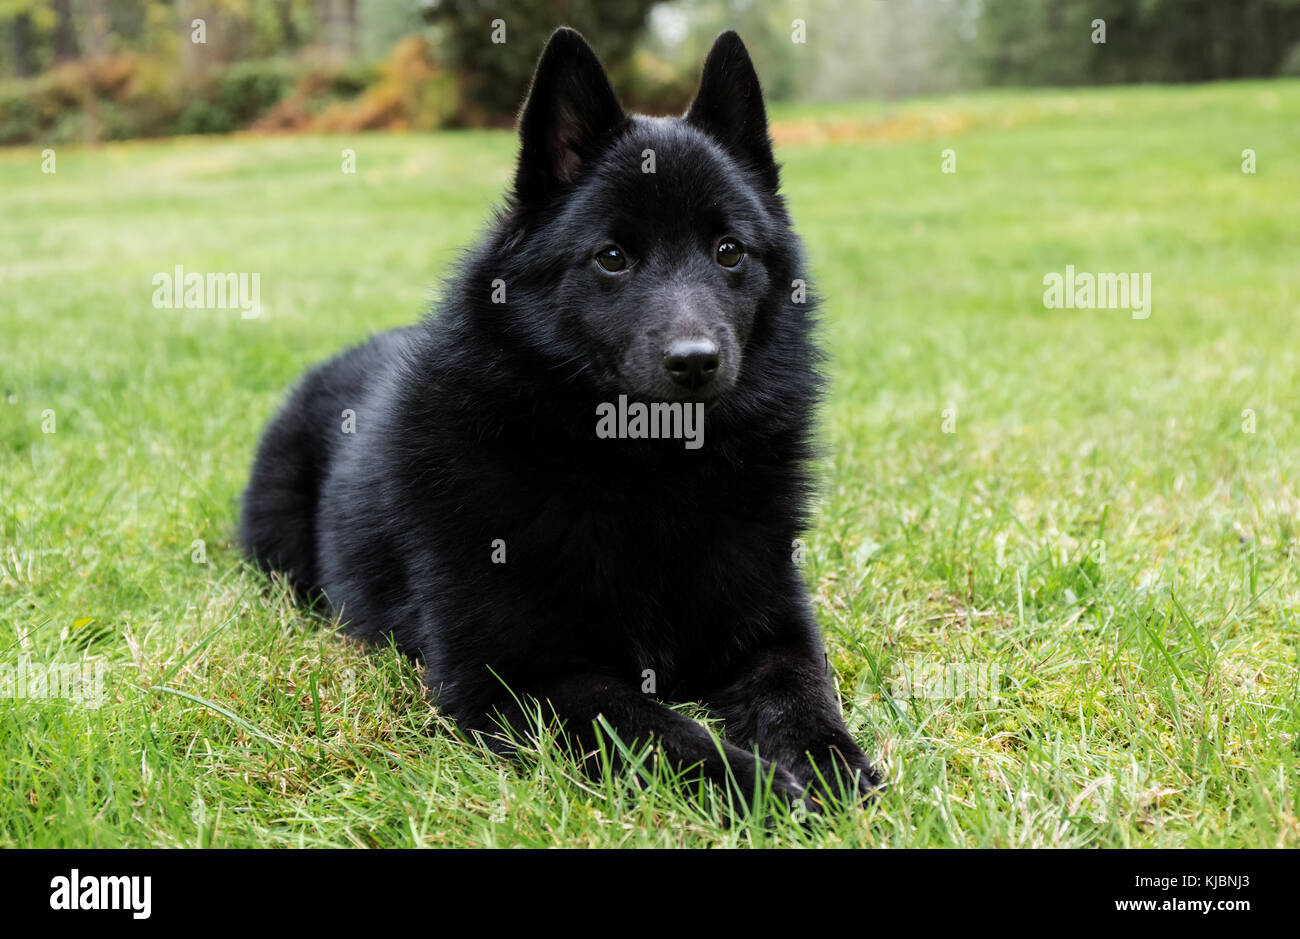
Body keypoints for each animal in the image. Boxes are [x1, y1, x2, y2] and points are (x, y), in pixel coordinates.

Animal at [239, 27, 878, 806]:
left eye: (729, 251)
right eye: (612, 256)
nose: (695, 361)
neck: (648, 478)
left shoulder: (776, 631)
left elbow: (802, 694)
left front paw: (829, 767)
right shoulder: (527, 677)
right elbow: (663, 733)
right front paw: (764, 791)